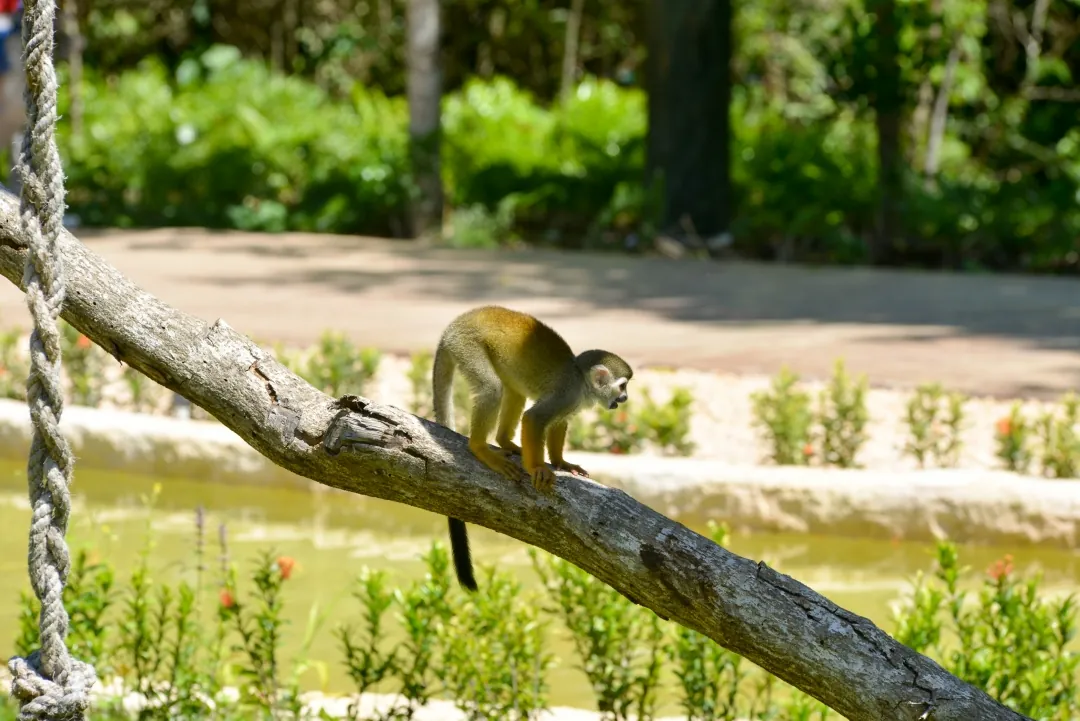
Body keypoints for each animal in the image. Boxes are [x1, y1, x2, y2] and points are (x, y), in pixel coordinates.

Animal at [432, 305, 633, 591]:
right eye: (622, 386)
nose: (624, 398)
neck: (581, 383)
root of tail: (455, 324)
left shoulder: (571, 402)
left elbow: (558, 422)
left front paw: (561, 463)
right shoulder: (566, 393)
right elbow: (535, 419)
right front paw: (537, 467)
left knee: (513, 390)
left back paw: (504, 441)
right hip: (467, 344)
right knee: (492, 389)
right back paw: (480, 448)